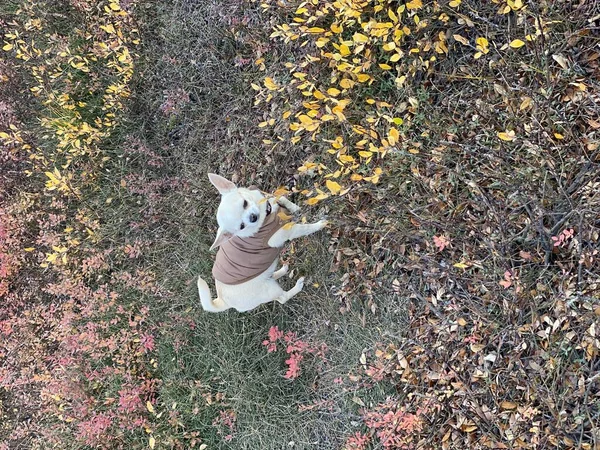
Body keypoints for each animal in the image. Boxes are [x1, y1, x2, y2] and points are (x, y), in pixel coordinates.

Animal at [197, 173, 328, 312]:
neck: (267, 215)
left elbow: (281, 198)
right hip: (269, 290)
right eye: (242, 226)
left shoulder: (268, 198)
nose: (253, 217)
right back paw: (298, 286)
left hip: (266, 280)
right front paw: (319, 225)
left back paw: (282, 270)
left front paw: (295, 207)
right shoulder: (287, 231)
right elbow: (305, 228)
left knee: (271, 276)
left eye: (245, 203)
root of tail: (222, 301)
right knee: (282, 298)